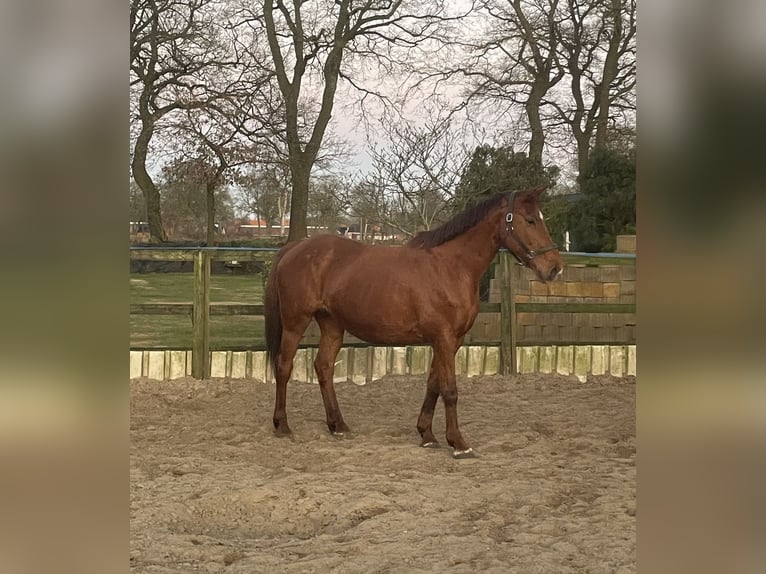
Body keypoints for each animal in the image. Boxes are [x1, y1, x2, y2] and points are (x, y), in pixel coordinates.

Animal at [264, 187, 563, 458]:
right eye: (530, 220)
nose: (555, 268)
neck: (451, 267)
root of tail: (295, 247)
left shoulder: (451, 341)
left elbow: (433, 384)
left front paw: (427, 434)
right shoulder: (443, 338)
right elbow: (450, 390)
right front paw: (458, 443)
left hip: (332, 325)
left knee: (323, 367)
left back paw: (338, 425)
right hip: (295, 323)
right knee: (284, 366)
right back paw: (283, 426)